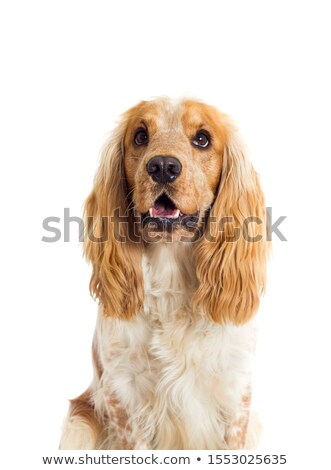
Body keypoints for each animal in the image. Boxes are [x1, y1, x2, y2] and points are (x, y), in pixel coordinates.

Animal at [59, 97, 270, 450]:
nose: (162, 166)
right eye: (140, 136)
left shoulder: (235, 393)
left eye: (202, 139)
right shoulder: (123, 394)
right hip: (79, 427)